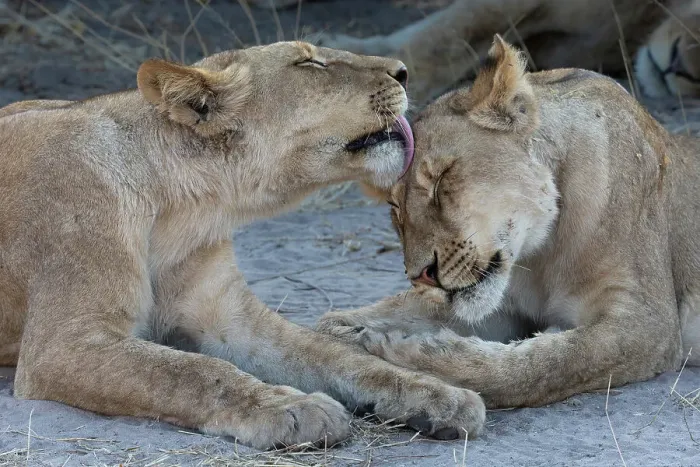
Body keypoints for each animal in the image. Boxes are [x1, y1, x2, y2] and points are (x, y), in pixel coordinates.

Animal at [0, 41, 486, 450]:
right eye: (309, 63)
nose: (404, 71)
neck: (184, 209)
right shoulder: (62, 344)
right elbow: (192, 371)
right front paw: (291, 407)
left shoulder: (233, 322)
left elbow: (338, 355)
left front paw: (438, 393)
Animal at [316, 35, 700, 409]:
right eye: (395, 207)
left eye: (441, 179)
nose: (421, 275)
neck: (544, 251)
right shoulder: (505, 306)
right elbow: (395, 311)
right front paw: (343, 328)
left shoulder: (649, 323)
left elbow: (547, 364)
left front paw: (413, 351)